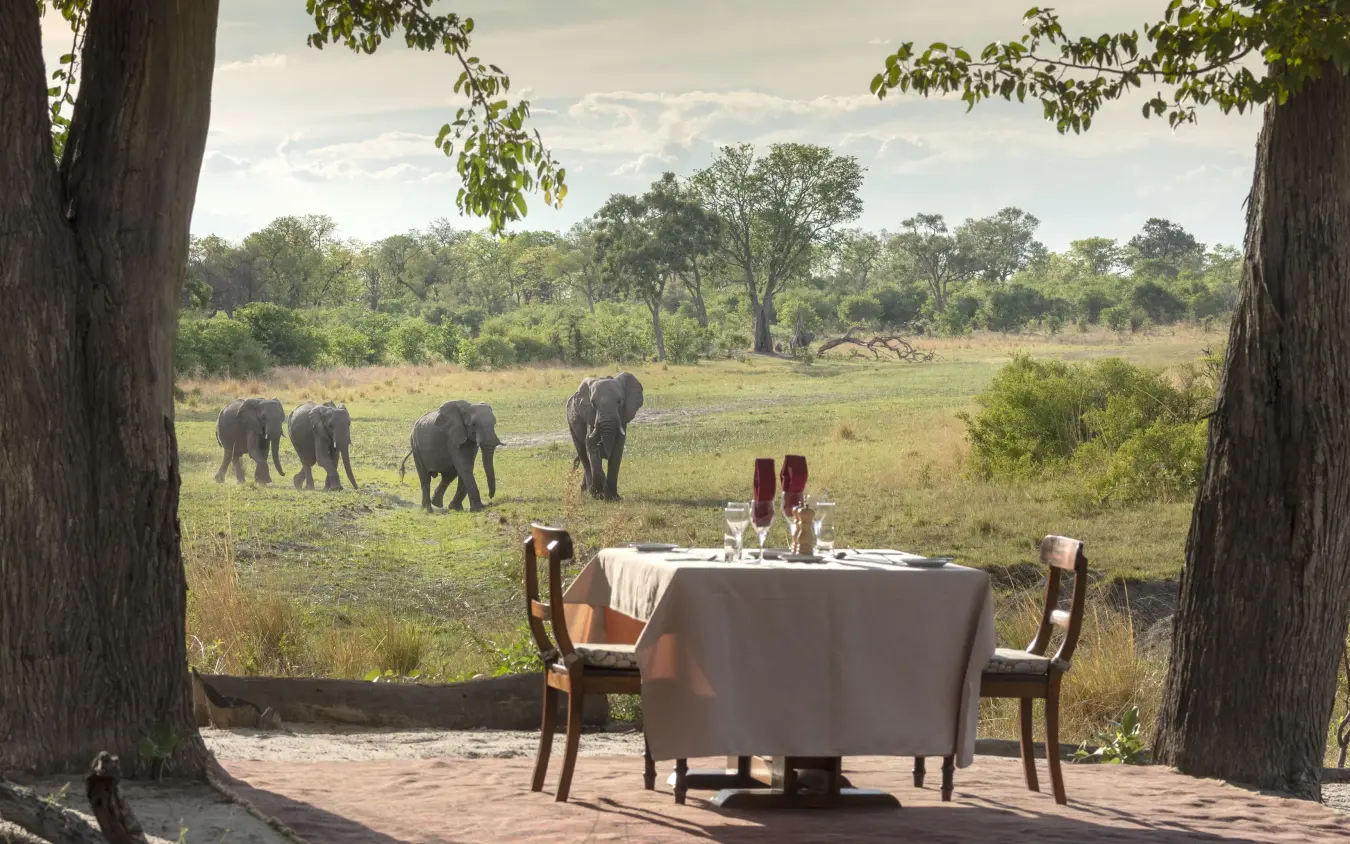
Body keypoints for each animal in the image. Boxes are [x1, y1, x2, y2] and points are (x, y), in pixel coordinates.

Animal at [566, 372, 643, 500]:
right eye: (593, 404)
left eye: (619, 401)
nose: (601, 444)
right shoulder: (590, 415)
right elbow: (590, 444)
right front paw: (600, 495)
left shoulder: (622, 417)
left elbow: (618, 449)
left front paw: (614, 498)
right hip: (570, 422)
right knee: (583, 453)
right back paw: (589, 493)